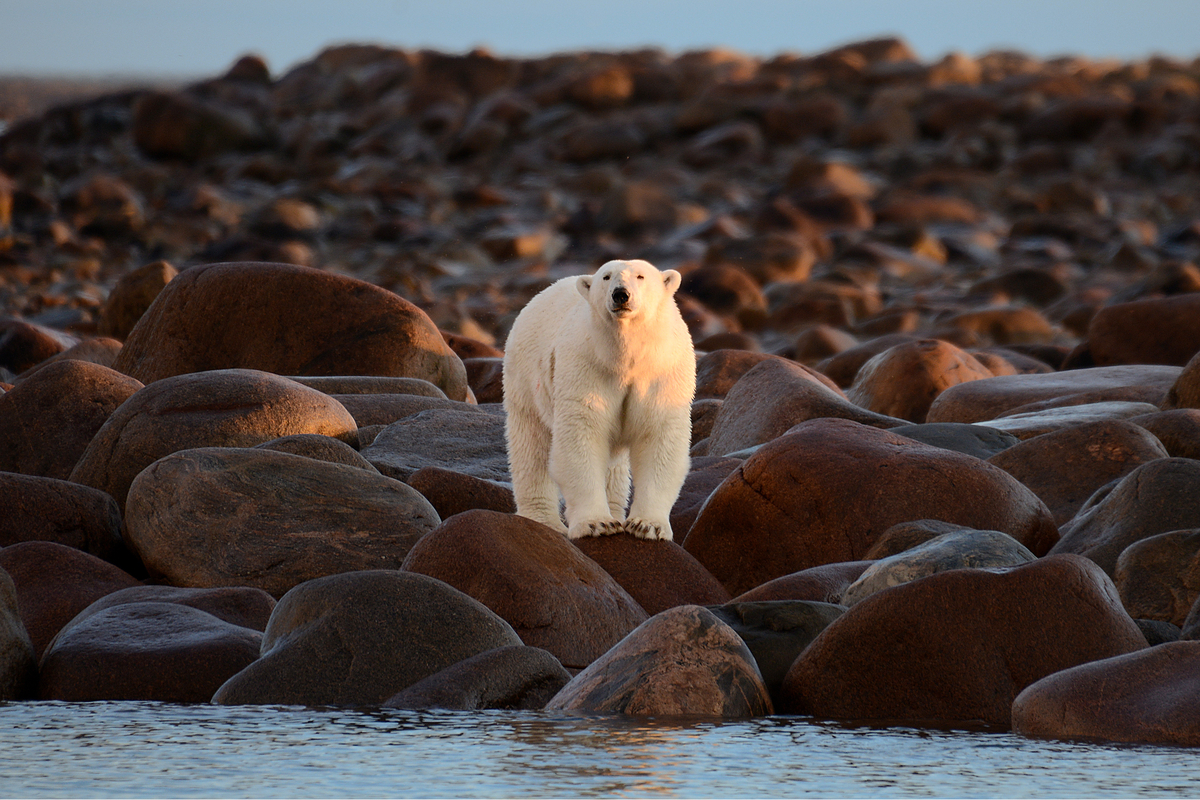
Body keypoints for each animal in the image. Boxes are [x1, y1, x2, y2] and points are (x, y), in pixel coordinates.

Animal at [502, 259, 696, 540]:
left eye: (640, 276)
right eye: (606, 277)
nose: (620, 294)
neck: (624, 358)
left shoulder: (662, 372)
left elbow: (659, 437)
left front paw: (646, 525)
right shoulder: (587, 366)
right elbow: (583, 434)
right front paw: (597, 524)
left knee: (614, 465)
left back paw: (615, 511)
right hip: (526, 377)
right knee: (531, 444)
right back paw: (544, 520)